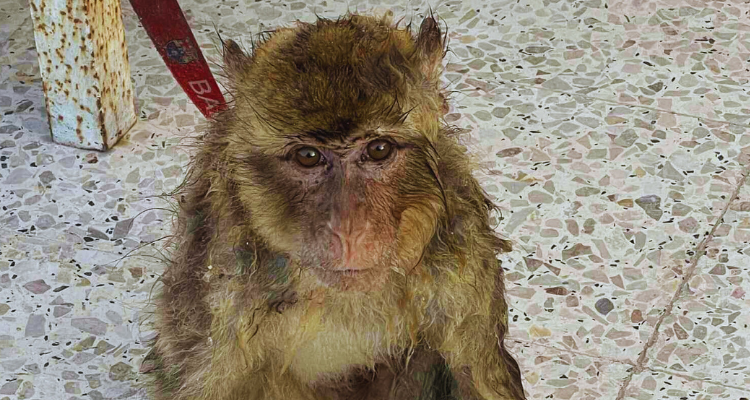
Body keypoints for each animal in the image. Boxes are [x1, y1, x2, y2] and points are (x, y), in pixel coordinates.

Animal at [144, 11, 526, 400]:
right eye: (308, 156)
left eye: (379, 149)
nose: (348, 229)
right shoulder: (221, 287)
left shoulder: (461, 266)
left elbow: (477, 375)